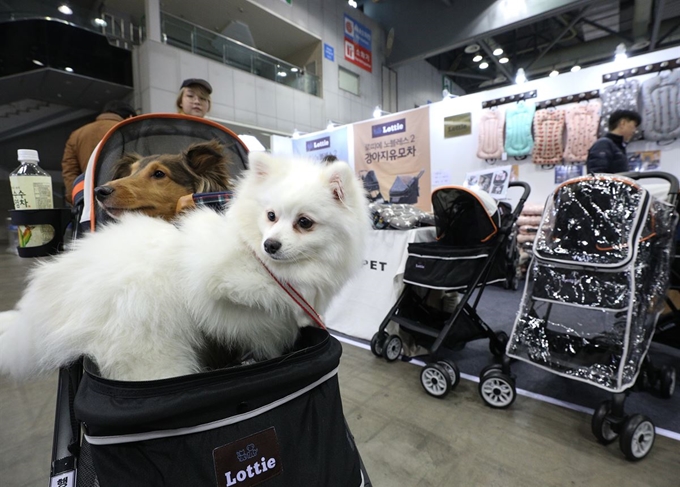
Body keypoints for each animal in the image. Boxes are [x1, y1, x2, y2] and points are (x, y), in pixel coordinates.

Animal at [0, 152, 366, 382]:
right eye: (271, 216)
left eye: (304, 222)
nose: (270, 245)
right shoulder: (216, 275)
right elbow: (253, 290)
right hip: (153, 351)